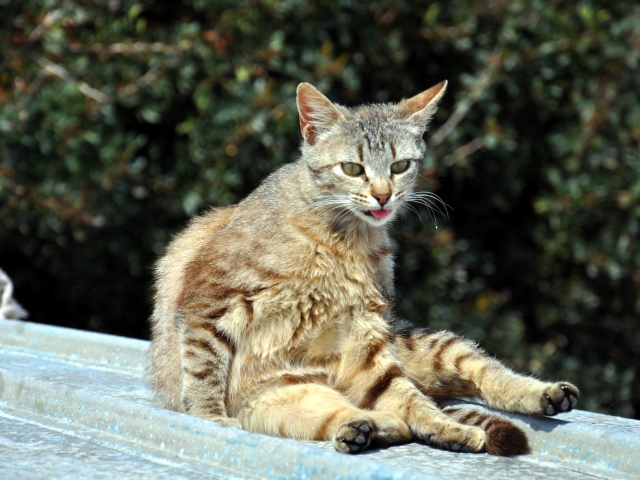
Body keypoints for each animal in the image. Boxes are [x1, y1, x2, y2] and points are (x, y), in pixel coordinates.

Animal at [150, 80, 580, 456]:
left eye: (401, 165)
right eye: (353, 169)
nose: (383, 195)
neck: (343, 238)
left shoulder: (366, 331)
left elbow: (403, 396)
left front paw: (444, 427)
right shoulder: (208, 301)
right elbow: (204, 369)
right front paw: (210, 416)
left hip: (428, 345)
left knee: (459, 384)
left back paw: (532, 398)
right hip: (287, 400)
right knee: (369, 416)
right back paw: (364, 429)